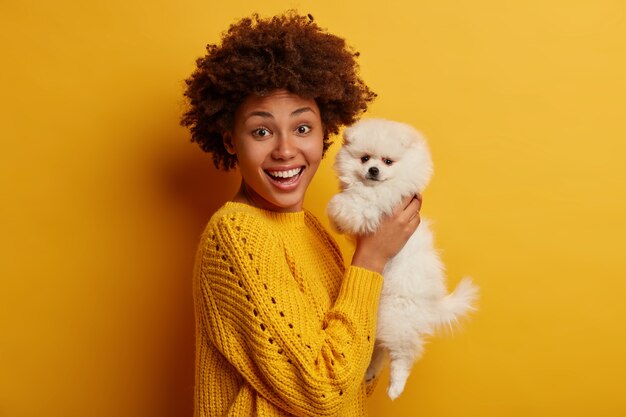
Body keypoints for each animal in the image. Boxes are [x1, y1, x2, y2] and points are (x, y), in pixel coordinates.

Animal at [324, 118, 476, 400]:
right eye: (364, 158)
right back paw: (371, 372)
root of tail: (432, 305)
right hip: (385, 317)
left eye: (388, 161)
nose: (373, 170)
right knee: (382, 349)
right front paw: (338, 220)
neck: (378, 186)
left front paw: (338, 210)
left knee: (402, 354)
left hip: (397, 314)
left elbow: (354, 203)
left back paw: (396, 387)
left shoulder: (380, 203)